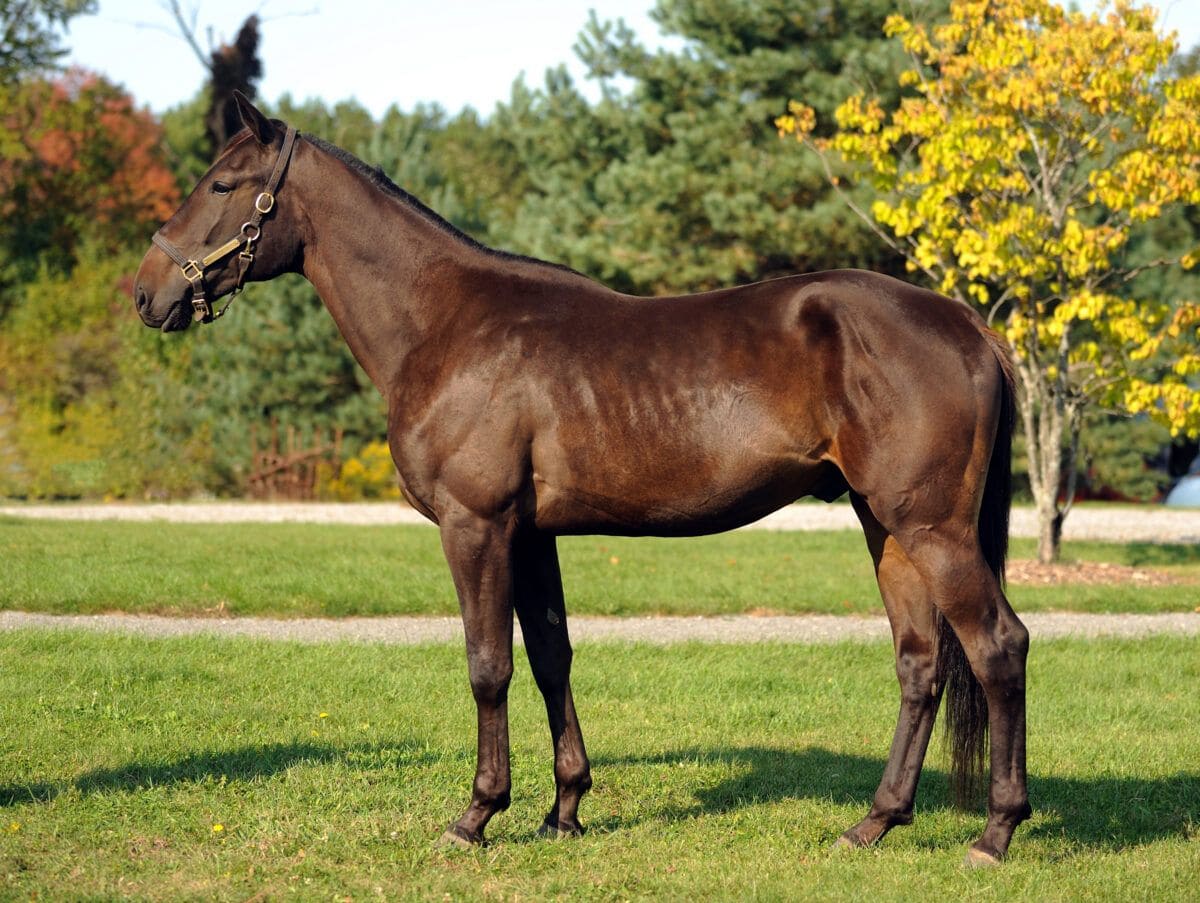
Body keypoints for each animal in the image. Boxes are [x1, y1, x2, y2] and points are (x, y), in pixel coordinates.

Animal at [133, 92, 1030, 865]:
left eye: (221, 184)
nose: (148, 291)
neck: (445, 321)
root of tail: (967, 324)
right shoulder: (532, 534)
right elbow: (550, 656)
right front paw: (564, 809)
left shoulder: (477, 524)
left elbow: (488, 664)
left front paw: (476, 814)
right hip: (887, 528)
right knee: (919, 663)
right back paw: (874, 822)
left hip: (933, 531)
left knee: (998, 646)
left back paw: (994, 833)